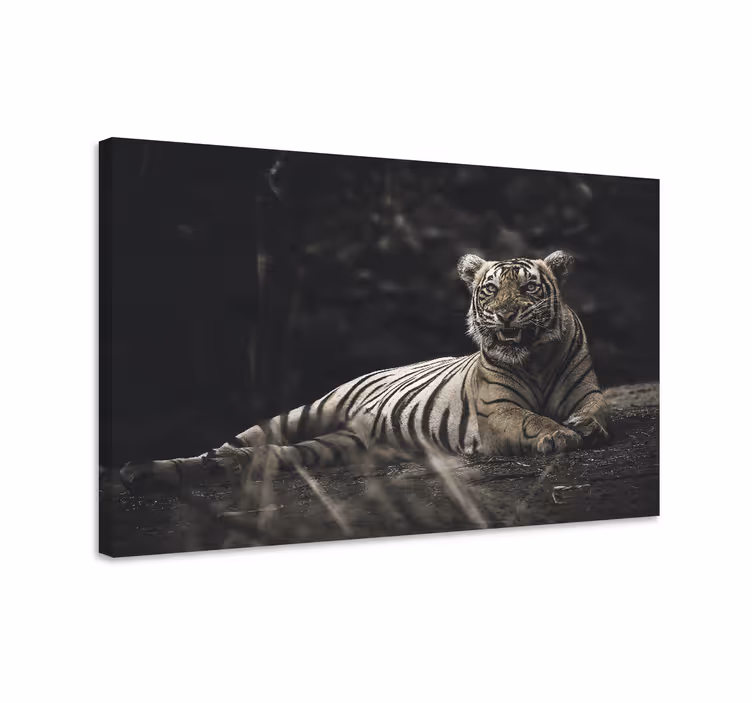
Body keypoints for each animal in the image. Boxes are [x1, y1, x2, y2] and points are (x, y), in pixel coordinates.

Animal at [121, 250, 610, 495]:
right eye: (491, 290)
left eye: (528, 288)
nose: (505, 315)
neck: (536, 359)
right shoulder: (497, 411)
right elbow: (529, 419)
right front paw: (559, 434)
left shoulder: (587, 391)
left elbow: (596, 409)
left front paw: (584, 427)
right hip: (306, 411)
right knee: (242, 440)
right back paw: (157, 468)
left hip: (334, 445)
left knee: (270, 455)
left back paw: (210, 467)